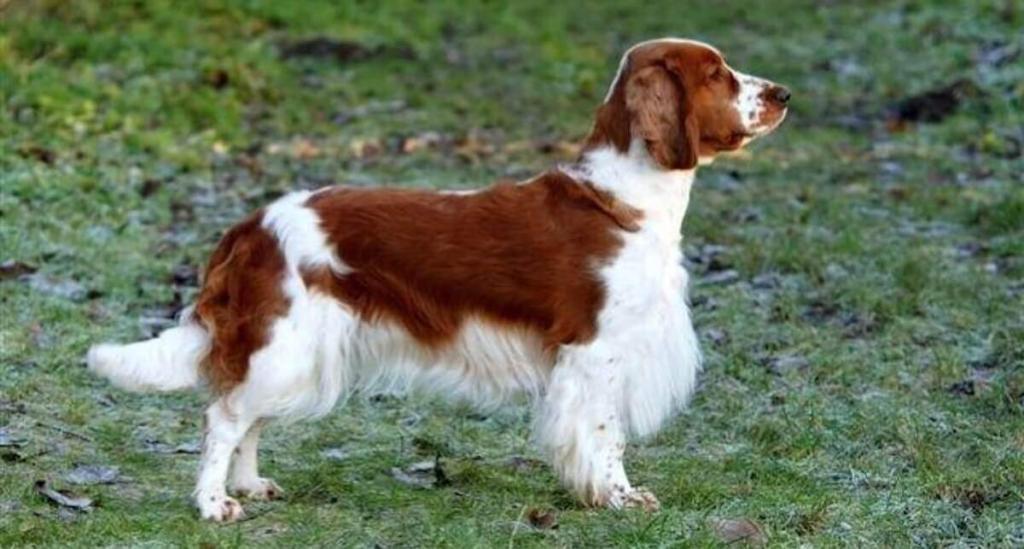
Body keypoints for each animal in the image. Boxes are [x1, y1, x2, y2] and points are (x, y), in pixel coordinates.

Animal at [90, 37, 790, 518]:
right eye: (717, 73)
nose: (782, 94)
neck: (625, 197)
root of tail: (250, 225)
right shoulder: (597, 353)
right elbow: (605, 435)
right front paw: (618, 497)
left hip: (294, 352)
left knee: (248, 418)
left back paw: (249, 484)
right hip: (282, 342)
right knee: (223, 416)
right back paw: (214, 504)